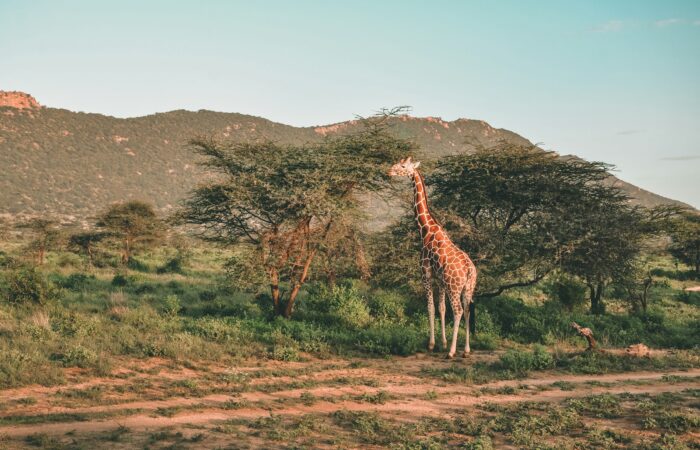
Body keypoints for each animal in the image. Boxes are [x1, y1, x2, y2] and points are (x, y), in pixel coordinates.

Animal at [389, 157, 477, 358]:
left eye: (403, 166)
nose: (389, 171)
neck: (426, 230)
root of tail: (470, 270)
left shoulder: (426, 274)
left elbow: (430, 307)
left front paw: (432, 344)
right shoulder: (440, 280)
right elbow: (441, 309)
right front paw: (442, 343)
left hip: (454, 287)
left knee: (458, 311)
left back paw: (452, 352)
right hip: (468, 288)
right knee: (468, 310)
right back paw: (466, 350)